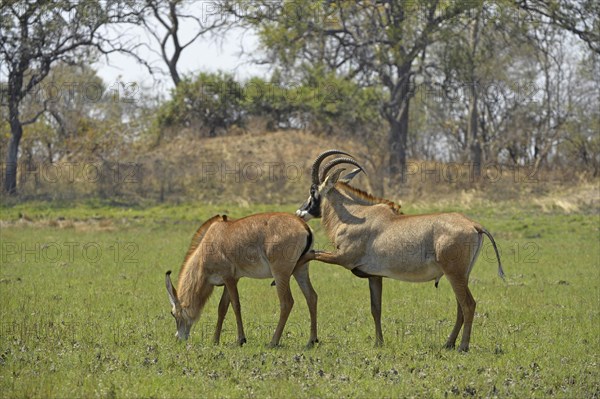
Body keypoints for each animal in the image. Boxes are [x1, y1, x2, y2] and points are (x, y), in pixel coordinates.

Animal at [164, 214, 318, 348]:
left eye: (173, 313)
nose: (178, 338)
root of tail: (303, 225)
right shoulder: (232, 280)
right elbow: (222, 308)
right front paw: (215, 340)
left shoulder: (229, 278)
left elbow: (236, 305)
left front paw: (241, 339)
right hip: (300, 270)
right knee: (311, 296)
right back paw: (311, 341)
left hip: (281, 274)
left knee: (287, 302)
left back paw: (273, 342)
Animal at [298, 151, 504, 354]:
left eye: (312, 190)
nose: (301, 212)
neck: (356, 216)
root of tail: (474, 225)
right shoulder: (374, 276)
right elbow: (376, 309)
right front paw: (379, 342)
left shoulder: (343, 258)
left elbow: (311, 253)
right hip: (460, 275)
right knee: (460, 306)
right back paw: (449, 344)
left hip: (455, 274)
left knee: (468, 305)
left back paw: (463, 346)